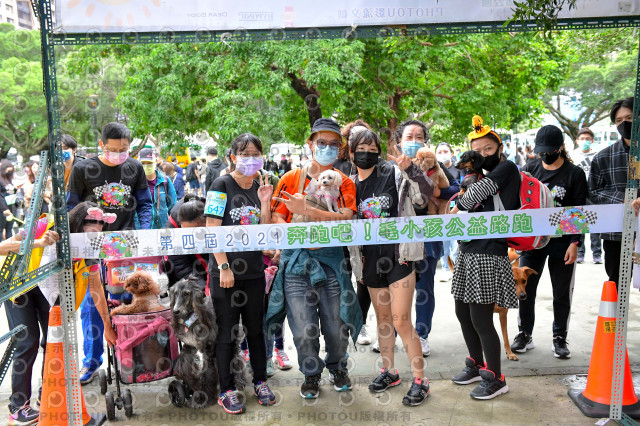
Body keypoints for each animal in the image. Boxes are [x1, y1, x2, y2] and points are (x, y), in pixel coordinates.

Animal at [170, 276, 249, 408]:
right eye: (175, 293)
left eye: (186, 293)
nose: (176, 311)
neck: (193, 318)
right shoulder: (190, 346)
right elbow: (185, 366)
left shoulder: (208, 349)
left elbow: (207, 373)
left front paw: (203, 399)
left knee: (236, 360)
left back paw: (239, 383)